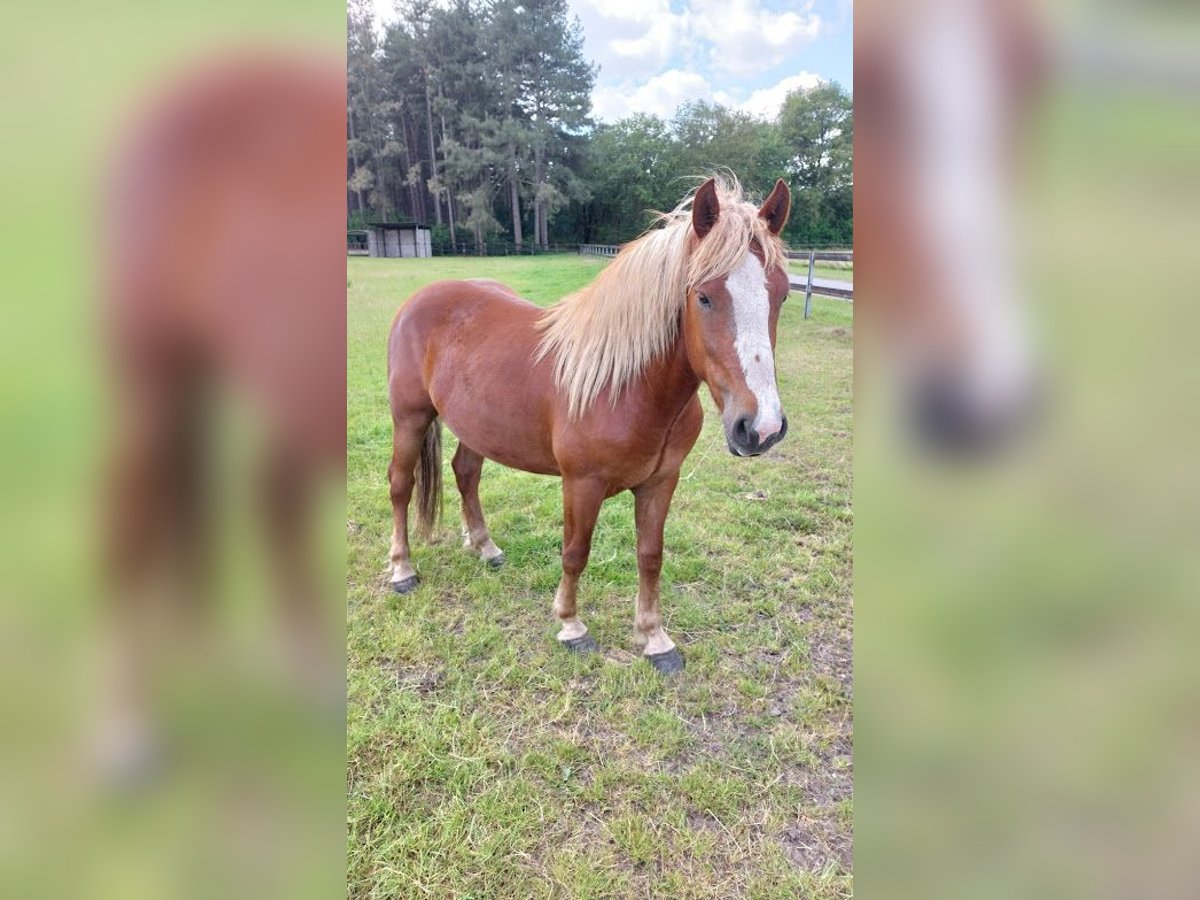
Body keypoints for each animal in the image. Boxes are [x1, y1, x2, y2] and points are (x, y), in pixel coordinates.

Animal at [388, 176, 792, 672]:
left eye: (782, 294)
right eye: (703, 296)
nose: (761, 427)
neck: (627, 387)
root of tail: (421, 299)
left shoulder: (661, 482)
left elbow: (650, 555)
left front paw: (654, 638)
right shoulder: (582, 483)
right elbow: (575, 552)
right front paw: (571, 625)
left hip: (476, 428)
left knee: (466, 474)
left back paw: (485, 547)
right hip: (409, 419)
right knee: (401, 485)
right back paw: (402, 569)